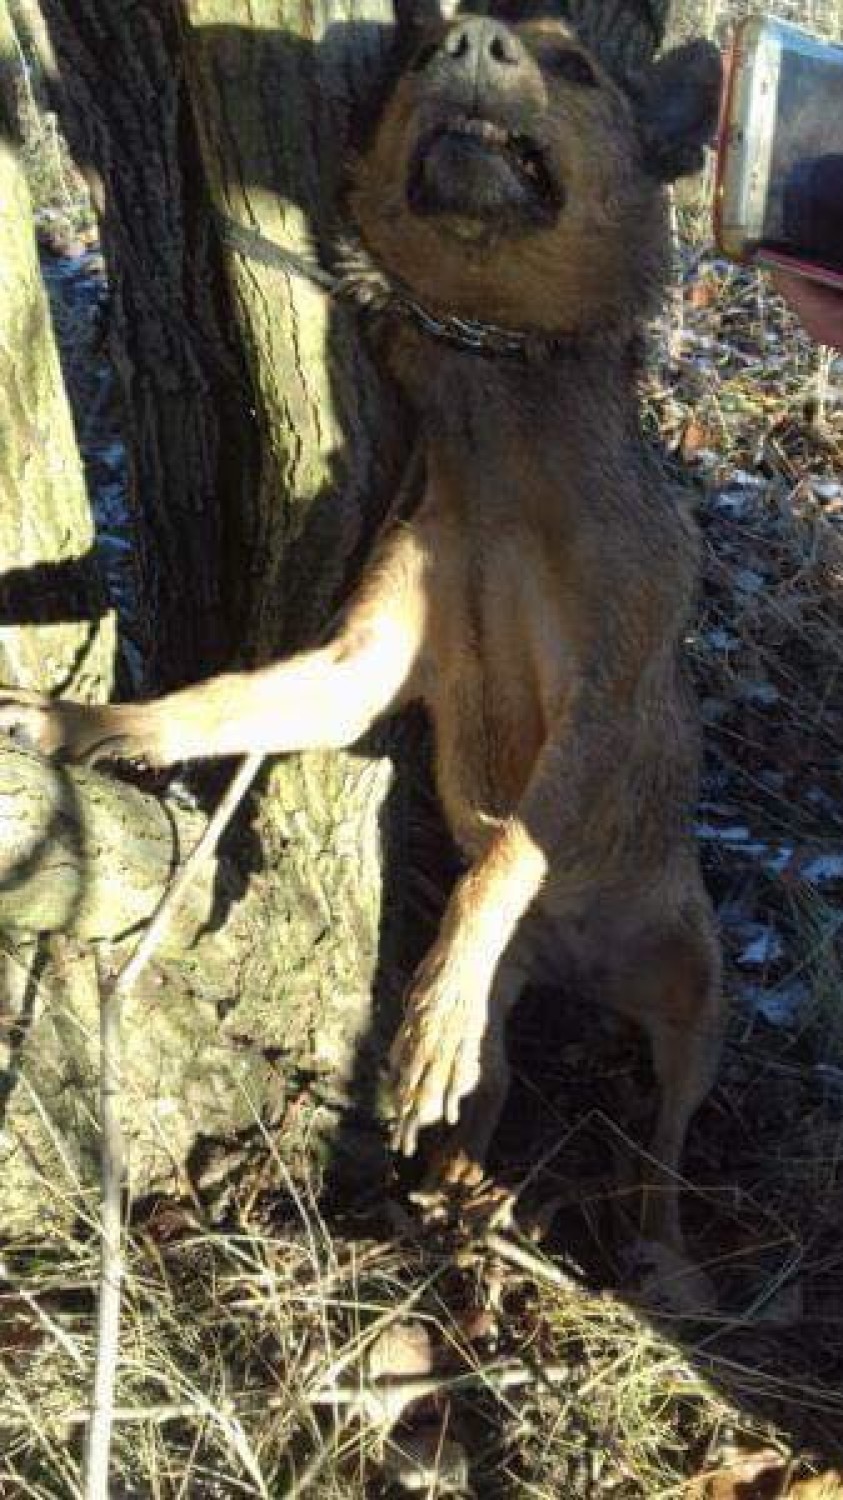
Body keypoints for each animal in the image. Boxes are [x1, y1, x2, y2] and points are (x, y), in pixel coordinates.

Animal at [0, 2, 723, 1254]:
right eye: (429, 55)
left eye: (575, 64)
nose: (466, 40)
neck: (497, 401)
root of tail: (583, 968)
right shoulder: (358, 668)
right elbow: (220, 701)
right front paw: (86, 725)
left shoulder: (608, 698)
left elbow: (508, 856)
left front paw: (430, 1011)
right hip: (530, 1011)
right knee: (493, 1088)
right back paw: (456, 1181)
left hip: (699, 987)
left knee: (668, 1136)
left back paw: (657, 1236)